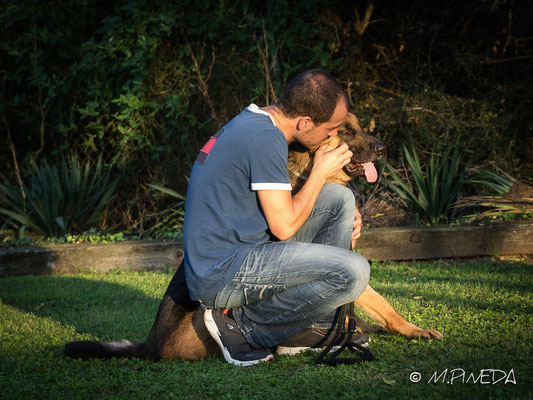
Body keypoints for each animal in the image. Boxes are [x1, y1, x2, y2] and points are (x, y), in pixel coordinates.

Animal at [64, 113, 442, 362]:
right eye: (346, 131)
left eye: (361, 128)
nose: (383, 148)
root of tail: (150, 346)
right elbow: (369, 298)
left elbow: (382, 306)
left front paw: (403, 330)